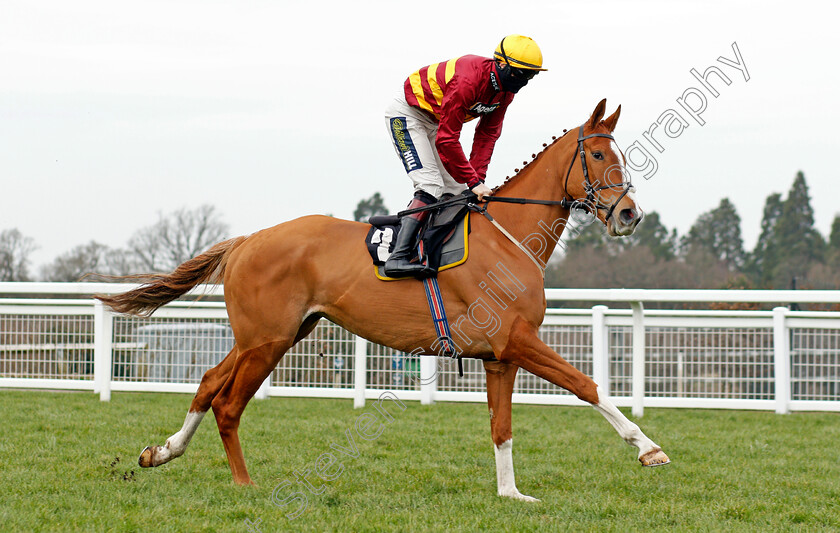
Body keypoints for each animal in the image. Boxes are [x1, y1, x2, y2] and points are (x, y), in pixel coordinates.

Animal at [95, 100, 668, 502]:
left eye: (619, 155)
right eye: (598, 155)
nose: (629, 214)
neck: (509, 236)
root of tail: (245, 240)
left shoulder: (499, 357)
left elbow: (502, 428)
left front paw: (510, 493)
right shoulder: (518, 340)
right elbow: (587, 385)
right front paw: (648, 448)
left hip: (271, 334)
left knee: (209, 382)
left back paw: (162, 452)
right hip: (268, 340)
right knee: (228, 403)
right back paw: (244, 485)